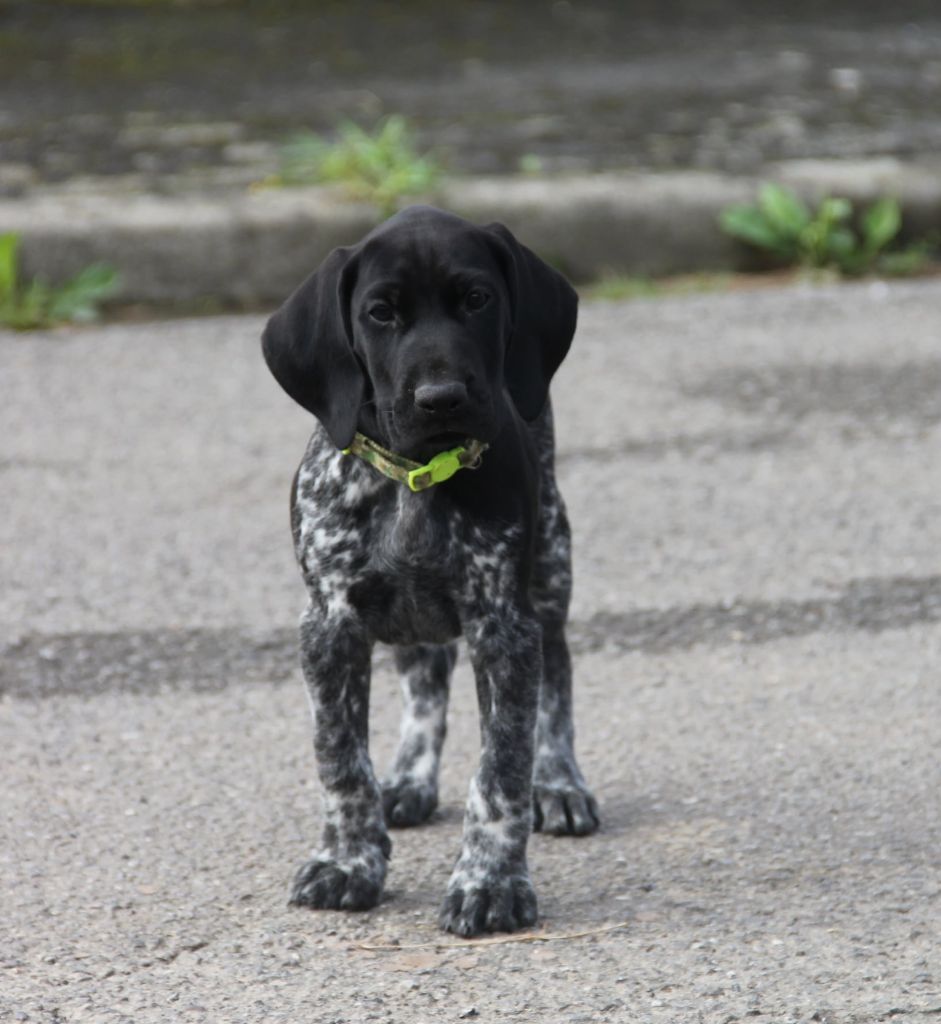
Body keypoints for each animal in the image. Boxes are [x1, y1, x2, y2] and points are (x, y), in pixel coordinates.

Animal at [261, 201, 597, 937]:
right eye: (380, 313)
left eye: (477, 299)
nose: (442, 398)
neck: (418, 476)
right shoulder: (329, 625)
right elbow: (339, 760)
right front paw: (348, 861)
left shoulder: (504, 627)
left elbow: (500, 769)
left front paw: (490, 883)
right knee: (426, 679)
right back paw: (410, 779)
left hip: (551, 565)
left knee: (556, 679)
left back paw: (559, 783)